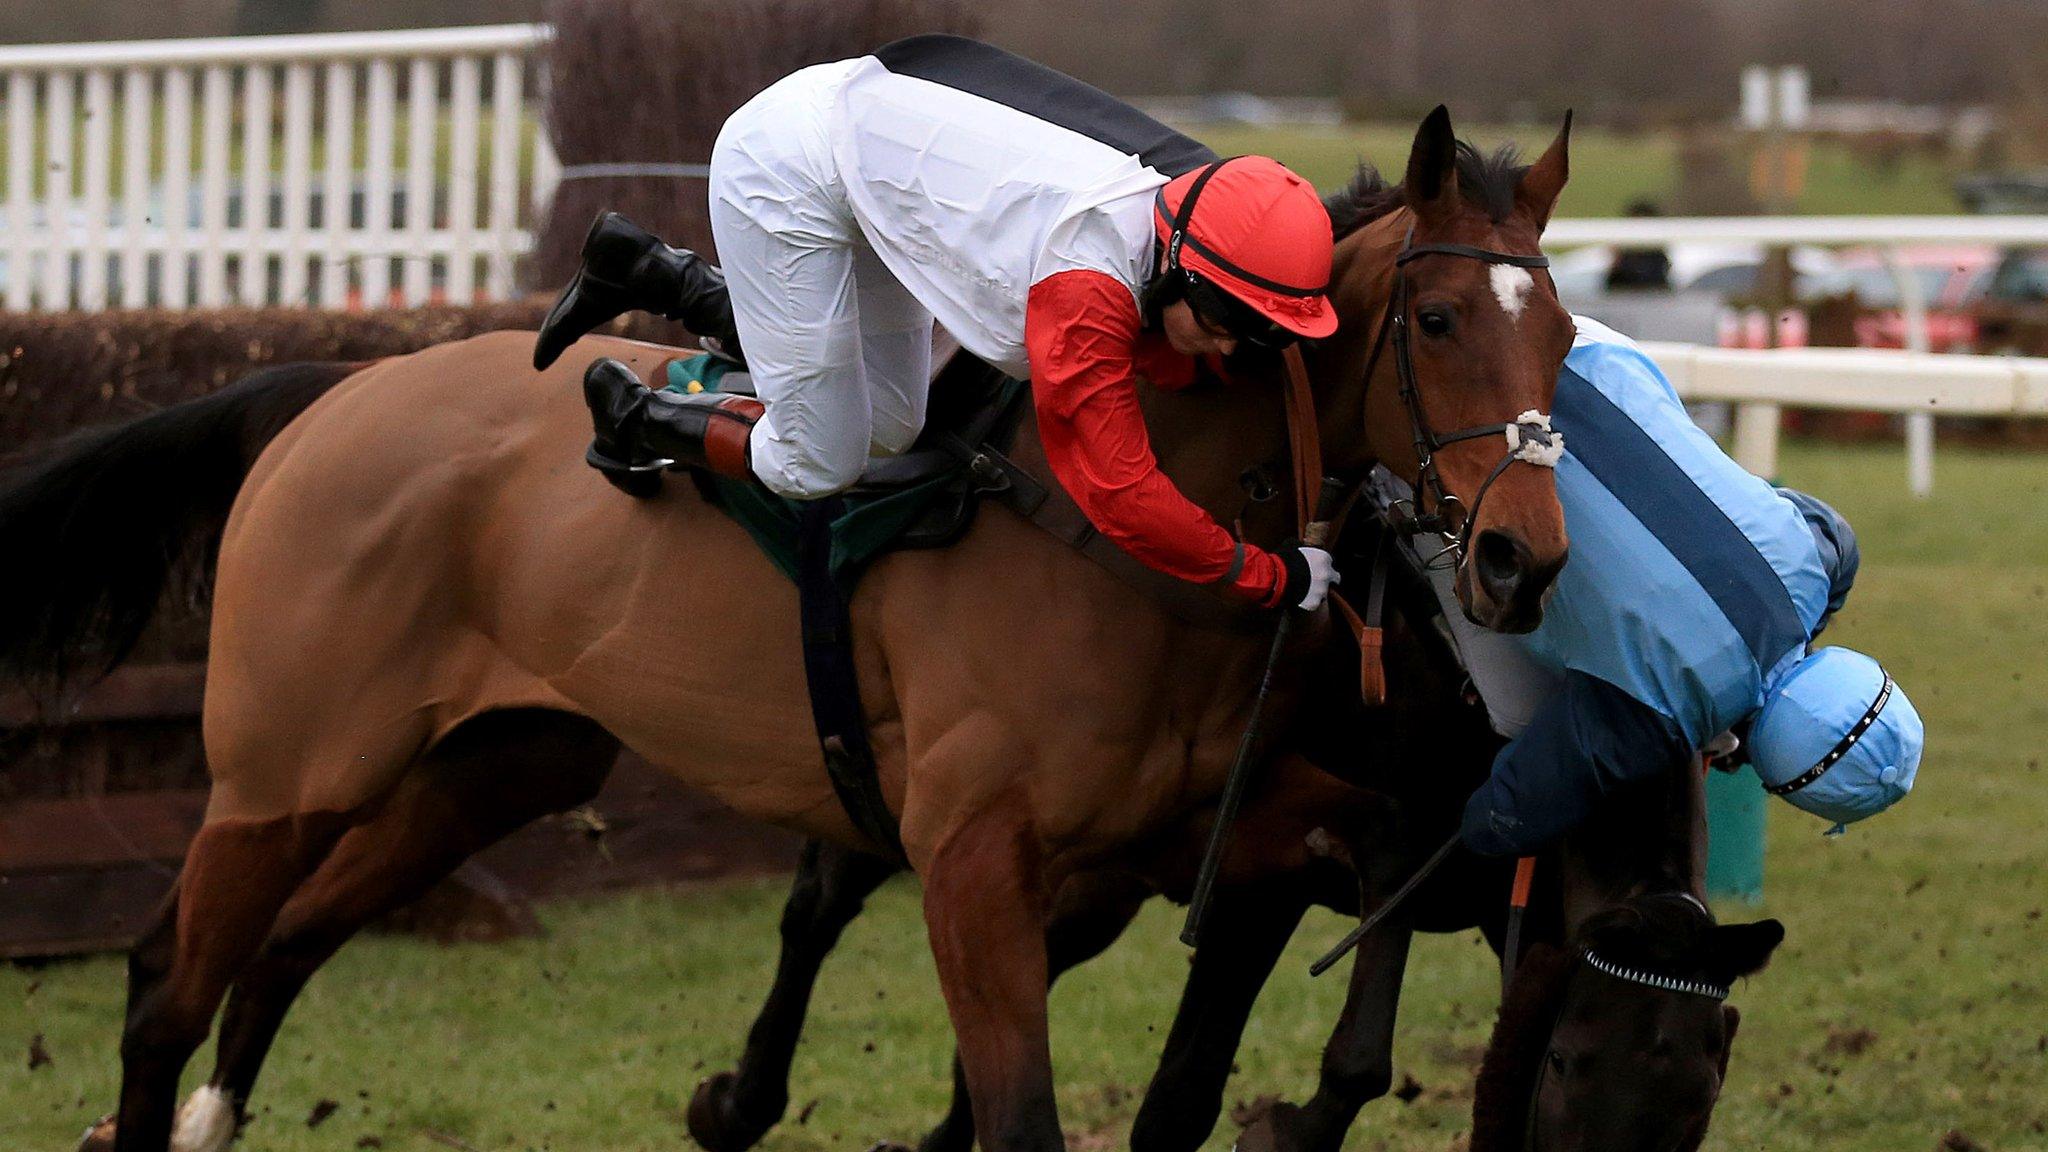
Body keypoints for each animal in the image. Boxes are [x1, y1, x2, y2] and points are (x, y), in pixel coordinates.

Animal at [4, 107, 1564, 1147]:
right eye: (1433, 320)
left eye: (1556, 335)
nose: (1522, 557)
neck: (1111, 529)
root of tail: (329, 390)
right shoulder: (975, 861)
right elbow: (1017, 1110)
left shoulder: (1199, 834)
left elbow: (1390, 869)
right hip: (285, 769)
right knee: (162, 985)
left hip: (496, 765)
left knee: (282, 947)